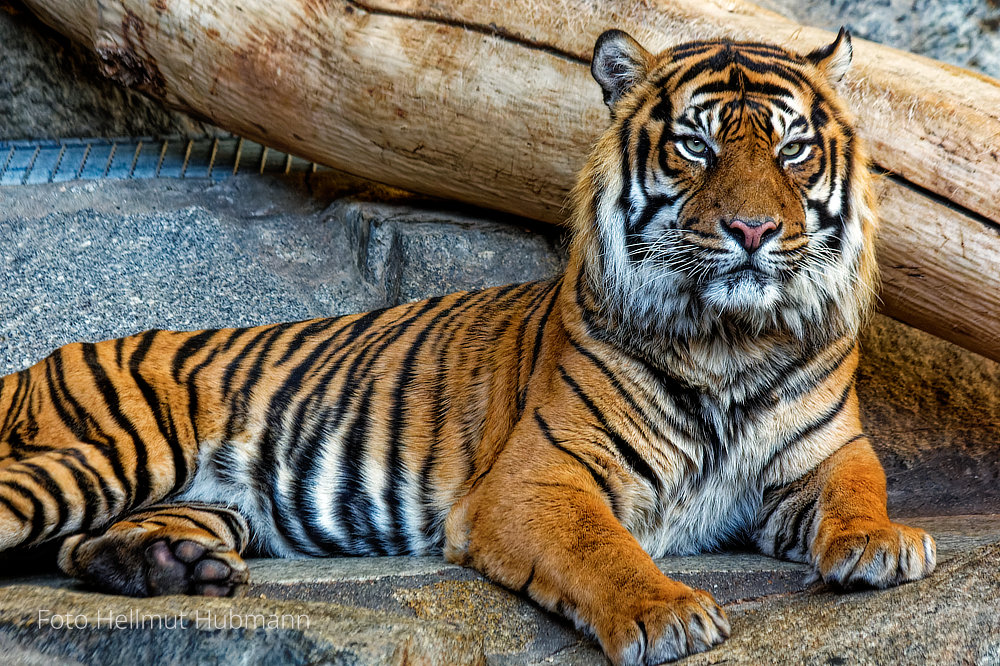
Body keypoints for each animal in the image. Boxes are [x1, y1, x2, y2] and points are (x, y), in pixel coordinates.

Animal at [0, 27, 936, 664]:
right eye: (696, 146)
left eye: (793, 147)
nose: (752, 230)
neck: (731, 340)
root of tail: (35, 363)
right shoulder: (540, 478)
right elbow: (605, 550)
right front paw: (666, 614)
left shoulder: (826, 451)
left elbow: (861, 488)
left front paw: (881, 546)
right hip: (101, 455)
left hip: (204, 500)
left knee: (86, 548)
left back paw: (173, 567)